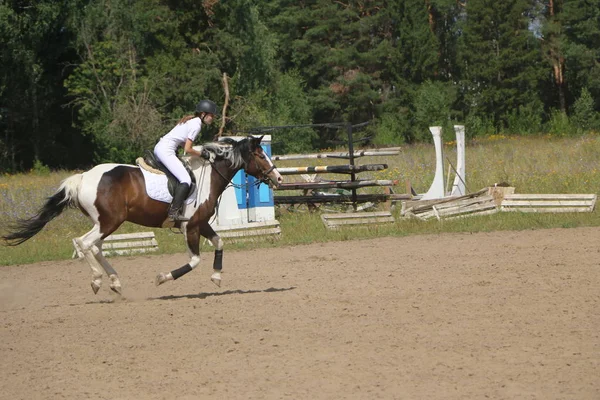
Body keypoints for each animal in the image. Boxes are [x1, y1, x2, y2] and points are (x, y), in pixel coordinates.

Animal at [2, 136, 284, 296]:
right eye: (260, 155)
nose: (278, 178)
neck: (208, 176)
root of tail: (82, 177)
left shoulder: (200, 223)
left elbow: (220, 242)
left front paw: (216, 277)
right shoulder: (191, 226)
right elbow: (194, 261)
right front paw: (163, 278)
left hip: (104, 223)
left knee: (95, 247)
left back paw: (114, 282)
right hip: (109, 221)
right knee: (83, 243)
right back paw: (97, 280)